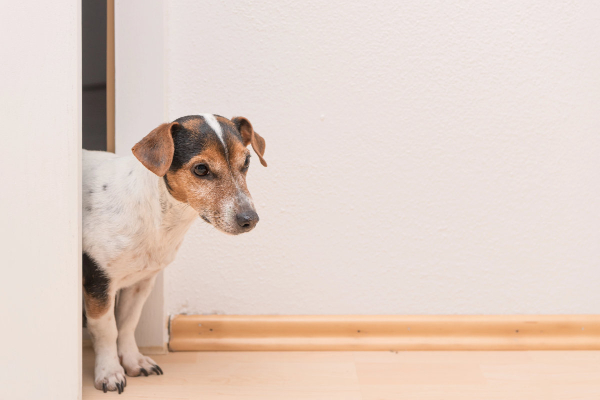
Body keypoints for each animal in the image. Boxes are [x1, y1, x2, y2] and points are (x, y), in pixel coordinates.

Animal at [82, 114, 268, 392]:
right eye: (200, 169)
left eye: (246, 162)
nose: (250, 220)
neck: (156, 216)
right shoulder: (98, 283)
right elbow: (107, 330)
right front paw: (110, 372)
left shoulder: (140, 283)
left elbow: (127, 324)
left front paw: (133, 360)